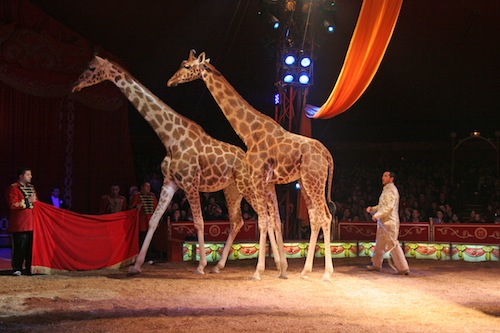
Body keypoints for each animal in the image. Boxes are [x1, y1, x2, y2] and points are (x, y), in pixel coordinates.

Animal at [71, 55, 286, 276]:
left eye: (91, 68)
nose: (75, 86)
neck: (170, 138)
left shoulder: (190, 183)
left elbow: (199, 222)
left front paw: (200, 266)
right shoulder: (169, 183)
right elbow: (154, 220)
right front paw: (136, 265)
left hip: (247, 186)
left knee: (266, 216)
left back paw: (273, 265)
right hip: (232, 189)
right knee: (239, 221)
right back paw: (222, 266)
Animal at [168, 50, 336, 280]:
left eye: (186, 66)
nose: (170, 81)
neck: (248, 132)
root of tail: (327, 155)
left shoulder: (256, 177)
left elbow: (263, 221)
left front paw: (258, 271)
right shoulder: (269, 182)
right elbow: (275, 220)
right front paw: (281, 269)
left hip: (314, 180)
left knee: (326, 217)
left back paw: (327, 273)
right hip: (306, 183)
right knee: (315, 218)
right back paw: (305, 270)